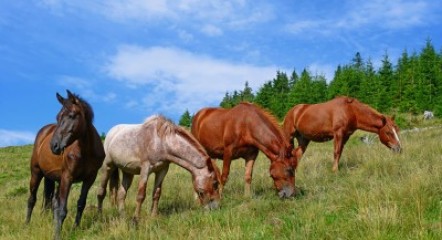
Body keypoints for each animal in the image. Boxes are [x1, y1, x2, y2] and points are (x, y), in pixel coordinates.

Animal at [25, 90, 104, 240]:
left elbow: (81, 204)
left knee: (52, 202)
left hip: (55, 179)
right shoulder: (68, 177)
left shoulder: (89, 179)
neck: (86, 151)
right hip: (36, 172)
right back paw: (26, 224)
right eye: (58, 117)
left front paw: (75, 228)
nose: (54, 146)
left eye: (71, 116)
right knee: (32, 199)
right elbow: (62, 209)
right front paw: (57, 234)